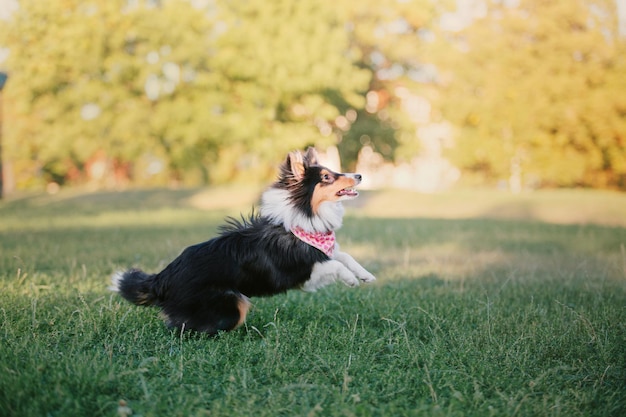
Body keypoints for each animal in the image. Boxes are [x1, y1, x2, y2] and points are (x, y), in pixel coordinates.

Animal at [109, 148, 372, 334]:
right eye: (327, 177)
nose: (360, 174)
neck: (303, 216)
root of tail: (162, 278)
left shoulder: (321, 251)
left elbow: (343, 255)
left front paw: (365, 275)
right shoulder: (300, 271)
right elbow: (334, 263)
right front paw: (350, 280)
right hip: (233, 304)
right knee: (187, 328)